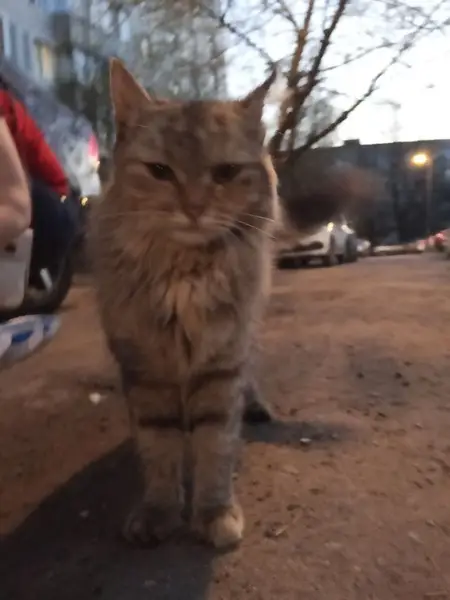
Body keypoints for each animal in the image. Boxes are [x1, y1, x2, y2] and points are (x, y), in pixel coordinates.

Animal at [90, 59, 279, 549]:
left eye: (225, 173)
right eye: (160, 171)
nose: (194, 208)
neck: (185, 273)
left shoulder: (221, 366)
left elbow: (216, 446)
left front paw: (214, 511)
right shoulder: (147, 371)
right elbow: (159, 450)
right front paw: (159, 511)